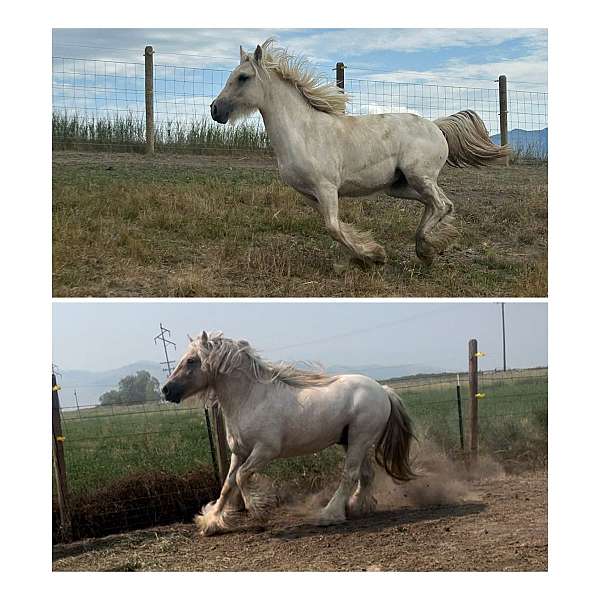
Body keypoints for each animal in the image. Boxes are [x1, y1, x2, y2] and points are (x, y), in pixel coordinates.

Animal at [162, 330, 414, 536]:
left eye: (191, 360)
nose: (166, 390)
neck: (250, 398)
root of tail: (383, 389)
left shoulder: (265, 451)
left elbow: (242, 477)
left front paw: (259, 513)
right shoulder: (238, 453)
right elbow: (227, 485)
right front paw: (210, 523)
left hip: (360, 441)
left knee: (349, 475)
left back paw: (329, 515)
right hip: (351, 441)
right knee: (365, 475)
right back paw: (356, 508)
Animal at [211, 41, 510, 266]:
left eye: (243, 77)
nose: (215, 110)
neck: (304, 132)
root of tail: (437, 126)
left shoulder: (327, 187)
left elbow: (333, 227)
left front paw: (374, 256)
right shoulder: (309, 194)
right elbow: (336, 227)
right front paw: (363, 254)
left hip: (419, 176)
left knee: (441, 204)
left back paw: (426, 248)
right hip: (399, 186)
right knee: (439, 204)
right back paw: (429, 246)